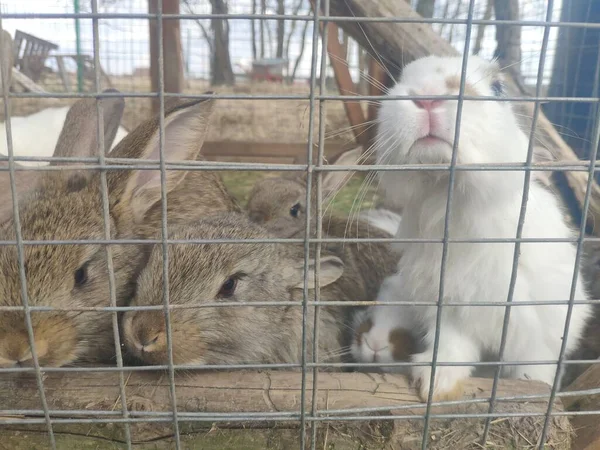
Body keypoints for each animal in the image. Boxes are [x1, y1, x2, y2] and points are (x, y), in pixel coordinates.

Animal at [376, 55, 592, 400]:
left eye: (498, 87)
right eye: (399, 79)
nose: (427, 96)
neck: (451, 198)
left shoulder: (539, 332)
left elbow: (535, 369)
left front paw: (536, 392)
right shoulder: (451, 311)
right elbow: (451, 348)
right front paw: (434, 385)